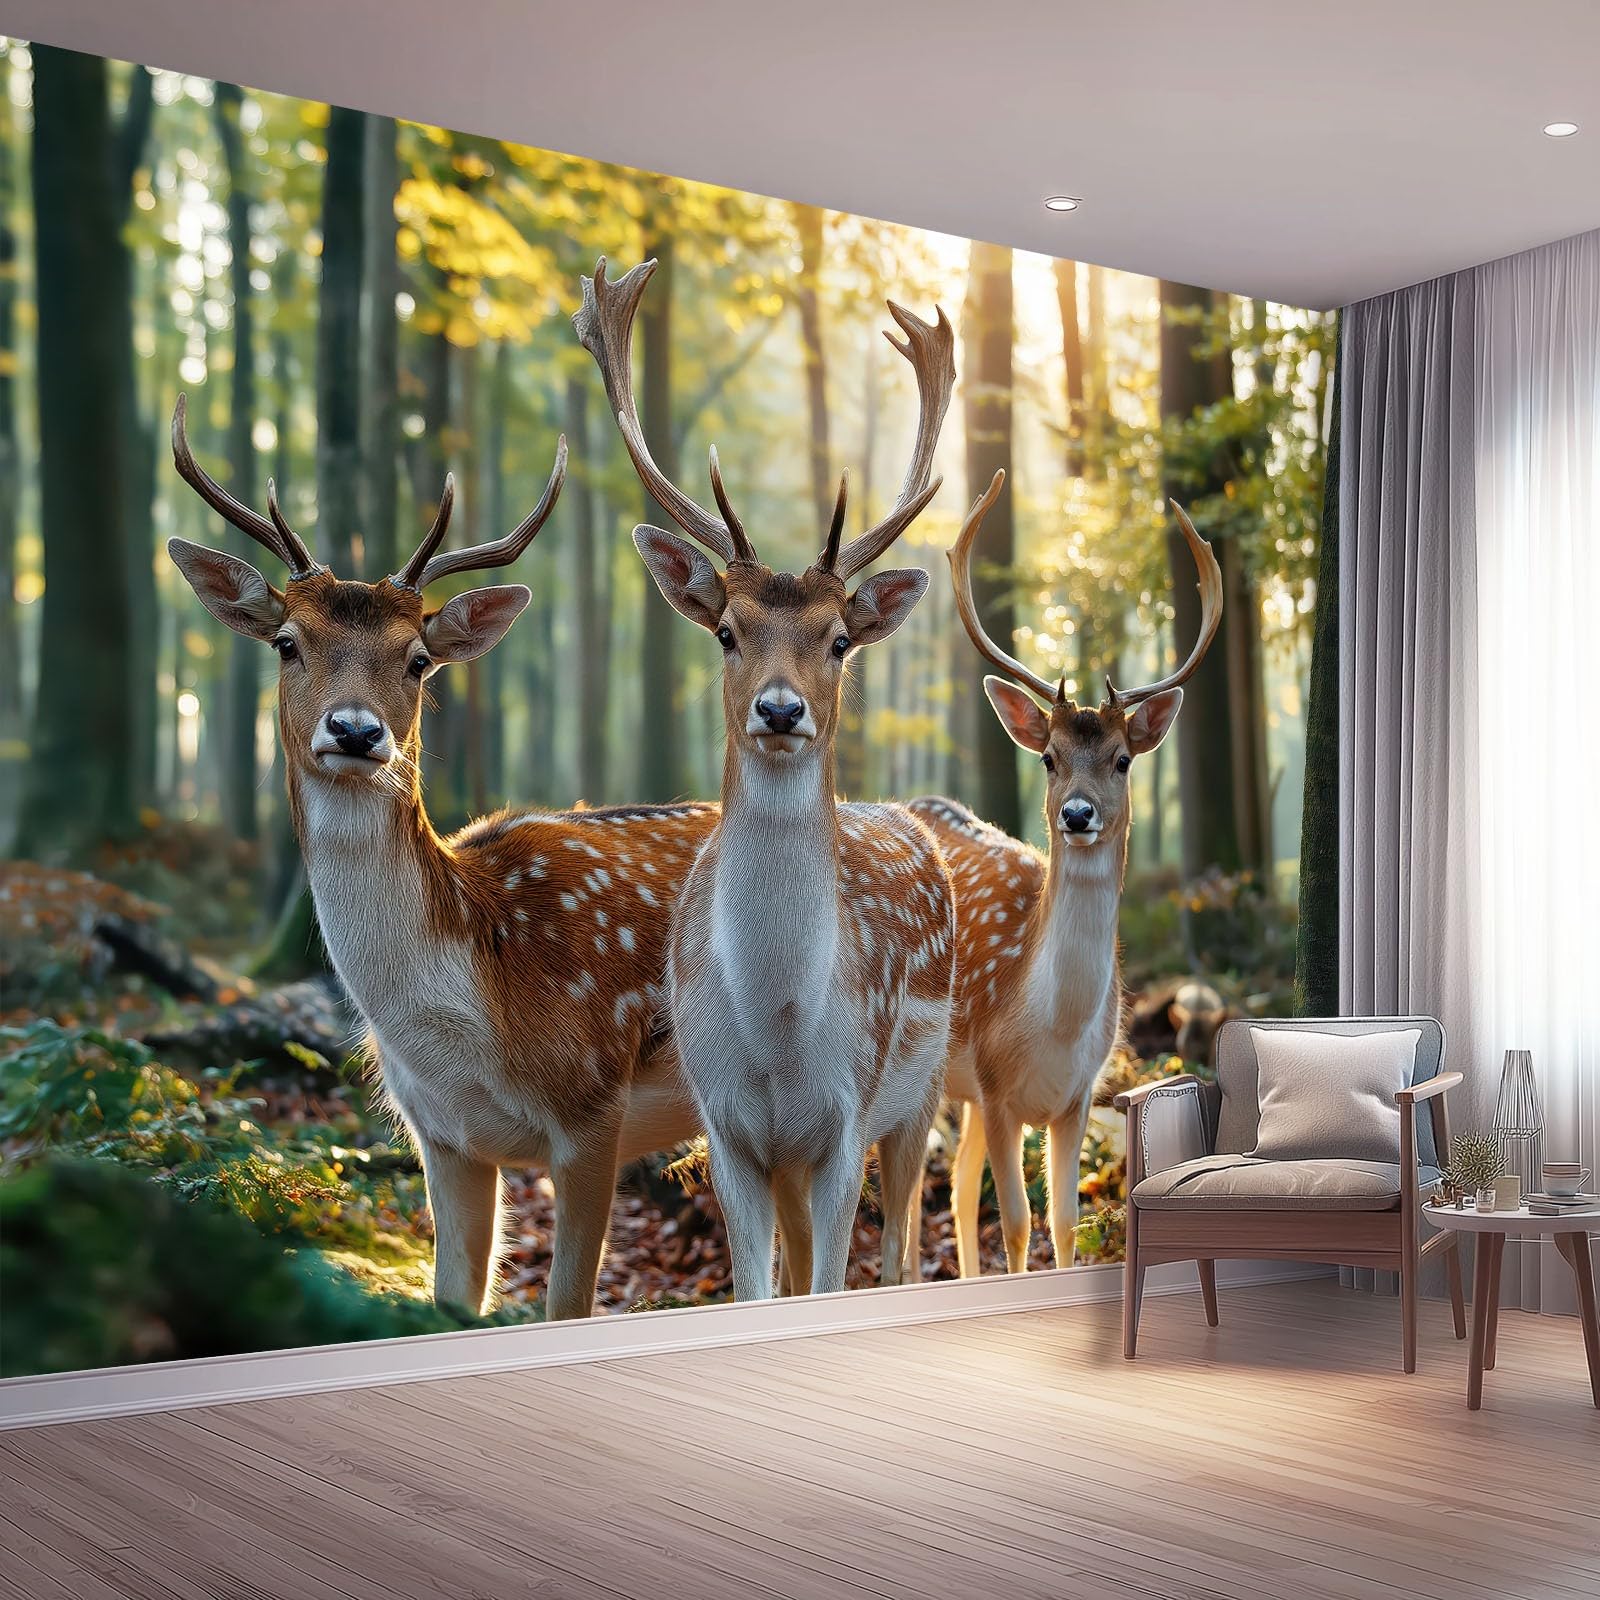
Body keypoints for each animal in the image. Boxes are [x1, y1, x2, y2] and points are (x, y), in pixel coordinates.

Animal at [166, 394, 719, 1321]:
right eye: (286, 641)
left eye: (419, 659)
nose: (355, 730)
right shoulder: (444, 1136)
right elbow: (452, 1304)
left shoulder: (592, 1110)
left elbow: (566, 1307)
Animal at [576, 258, 957, 1301]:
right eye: (725, 630)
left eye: (839, 640)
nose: (781, 710)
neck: (781, 1028)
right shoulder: (730, 1128)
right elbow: (759, 1289)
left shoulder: (844, 1117)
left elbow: (831, 1283)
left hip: (925, 1088)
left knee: (902, 1251)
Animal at [910, 470, 1223, 1277]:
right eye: (1049, 758)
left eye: (1122, 758)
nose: (1078, 814)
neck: (1047, 1030)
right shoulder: (995, 1087)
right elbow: (1018, 1224)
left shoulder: (1077, 1095)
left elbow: (1063, 1220)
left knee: (956, 1188)